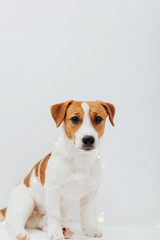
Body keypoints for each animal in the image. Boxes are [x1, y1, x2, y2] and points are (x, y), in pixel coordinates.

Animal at [0, 100, 115, 239]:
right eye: (75, 119)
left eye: (98, 119)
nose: (88, 139)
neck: (80, 160)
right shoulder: (53, 190)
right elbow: (55, 214)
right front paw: (55, 233)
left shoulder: (90, 193)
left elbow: (86, 213)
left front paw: (90, 229)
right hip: (25, 202)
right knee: (13, 223)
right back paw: (20, 233)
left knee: (44, 224)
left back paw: (64, 230)